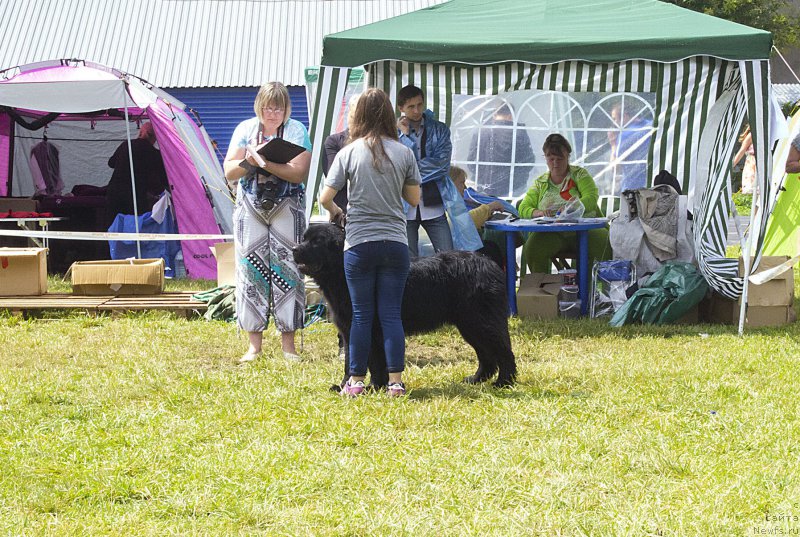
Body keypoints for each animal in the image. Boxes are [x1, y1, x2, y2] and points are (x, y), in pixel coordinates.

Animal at [290, 224, 516, 388]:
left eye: (317, 242)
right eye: (305, 238)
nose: (294, 248)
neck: (341, 273)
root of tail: (489, 263)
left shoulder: (371, 329)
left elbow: (374, 362)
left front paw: (373, 387)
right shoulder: (349, 331)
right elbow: (351, 361)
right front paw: (345, 386)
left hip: (481, 321)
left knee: (503, 351)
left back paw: (504, 382)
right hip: (469, 325)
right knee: (486, 355)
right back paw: (476, 379)